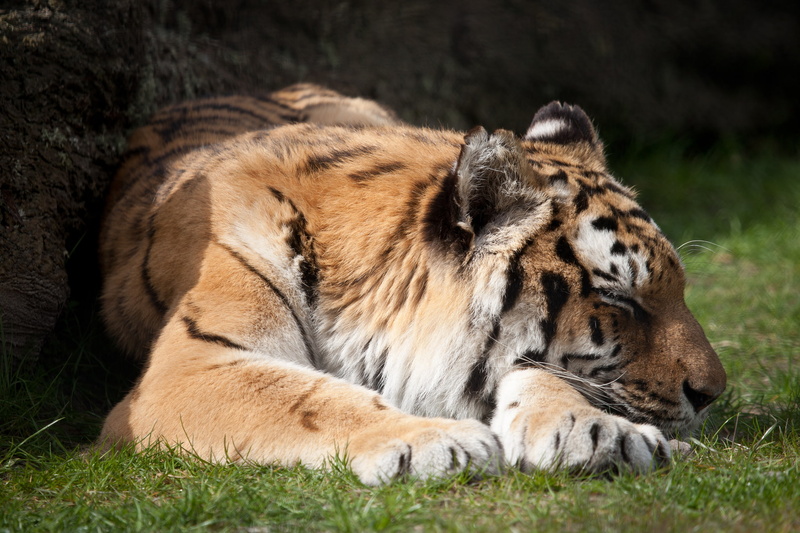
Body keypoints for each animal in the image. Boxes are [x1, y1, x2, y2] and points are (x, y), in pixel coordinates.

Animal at [97, 83, 726, 485]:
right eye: (618, 297)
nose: (713, 393)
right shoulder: (190, 367)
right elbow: (307, 398)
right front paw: (433, 440)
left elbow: (549, 375)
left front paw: (601, 432)